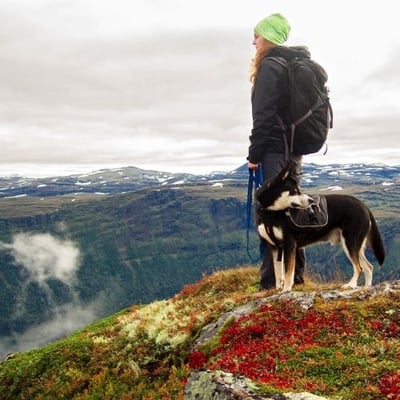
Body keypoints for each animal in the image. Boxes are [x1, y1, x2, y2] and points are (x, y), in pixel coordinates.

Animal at [256, 161, 384, 292]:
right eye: (294, 190)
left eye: (298, 189)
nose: (311, 200)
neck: (270, 213)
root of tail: (364, 206)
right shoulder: (275, 247)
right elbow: (278, 273)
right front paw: (277, 290)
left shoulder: (289, 245)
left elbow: (288, 274)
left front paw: (286, 290)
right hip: (356, 245)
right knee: (369, 267)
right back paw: (367, 288)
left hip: (350, 242)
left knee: (359, 267)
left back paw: (351, 285)